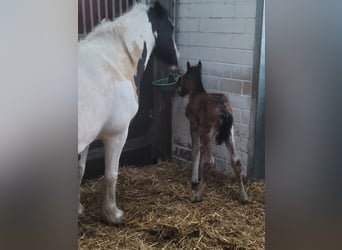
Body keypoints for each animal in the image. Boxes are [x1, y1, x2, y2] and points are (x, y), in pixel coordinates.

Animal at [77, 1, 179, 225]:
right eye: (171, 27)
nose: (177, 62)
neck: (115, 62)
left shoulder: (87, 138)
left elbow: (80, 170)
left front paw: (78, 209)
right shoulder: (117, 134)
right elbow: (111, 174)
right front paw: (112, 214)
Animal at [178, 60, 247, 203]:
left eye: (184, 77)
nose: (179, 92)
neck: (196, 94)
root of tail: (223, 109)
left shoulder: (194, 126)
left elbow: (195, 151)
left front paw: (194, 179)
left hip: (206, 132)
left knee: (209, 161)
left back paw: (197, 196)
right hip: (229, 133)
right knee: (236, 161)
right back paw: (243, 197)